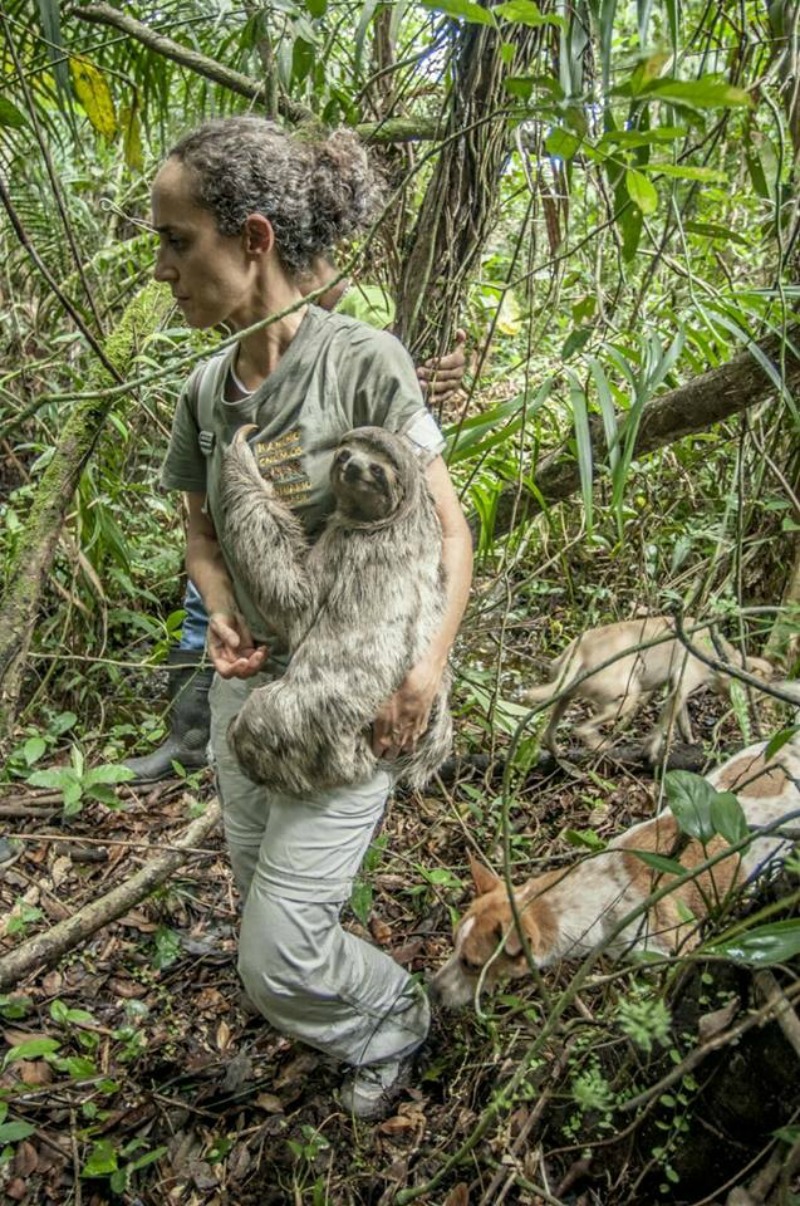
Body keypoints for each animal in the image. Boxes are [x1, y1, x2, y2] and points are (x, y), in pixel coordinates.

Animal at [518, 617, 777, 757]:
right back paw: (600, 745)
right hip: (627, 696)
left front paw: (690, 741)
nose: (764, 712)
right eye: (756, 691)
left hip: (566, 694)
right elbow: (662, 726)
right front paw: (652, 750)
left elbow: (683, 722)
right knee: (581, 729)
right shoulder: (681, 686)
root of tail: (579, 648)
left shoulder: (676, 689)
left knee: (551, 729)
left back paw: (556, 751)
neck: (719, 654)